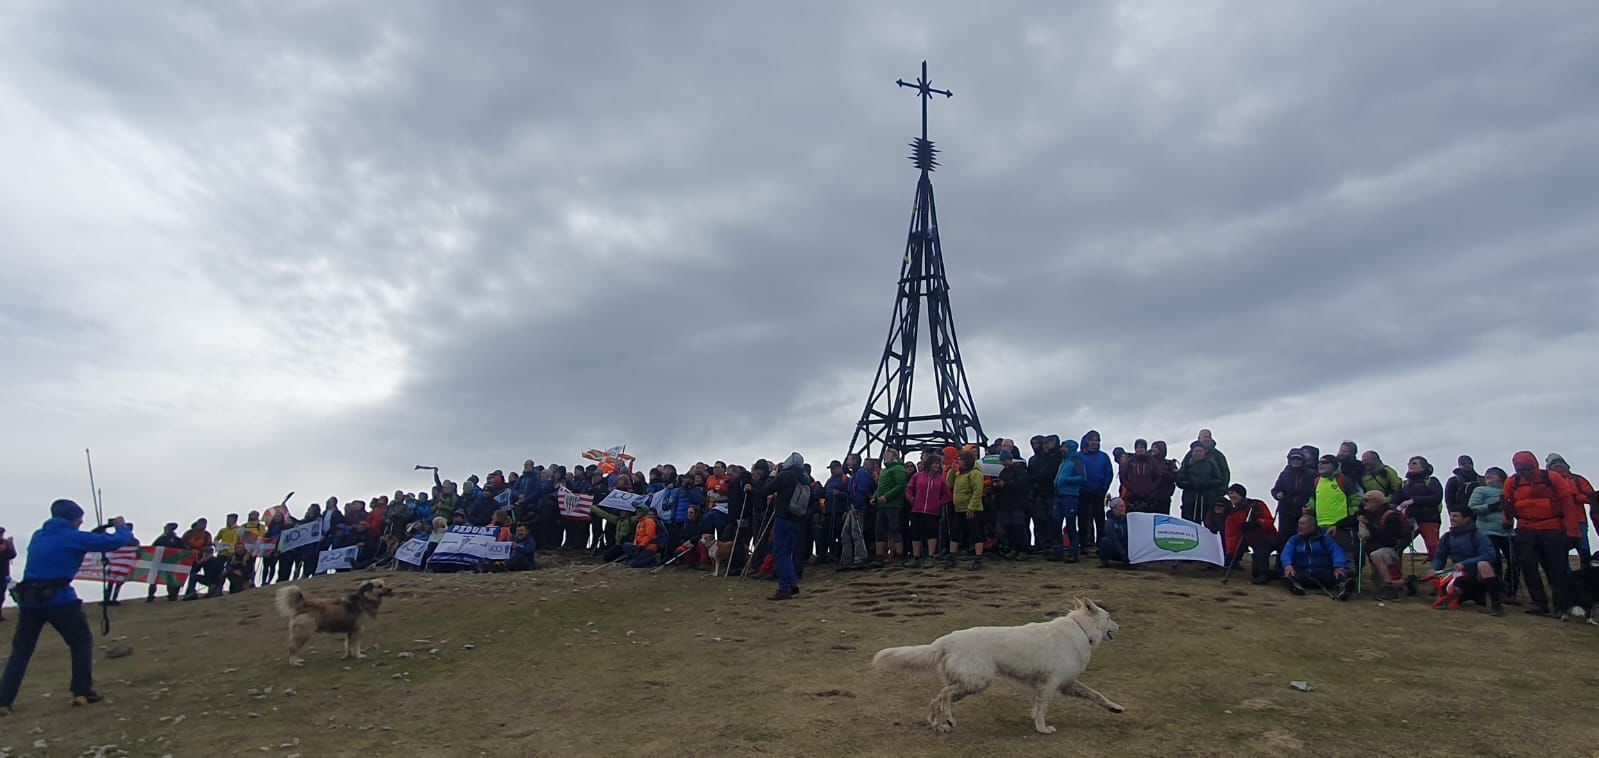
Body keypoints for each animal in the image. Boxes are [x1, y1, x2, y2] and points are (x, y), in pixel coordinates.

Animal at [876, 598, 1125, 735]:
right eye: (1109, 617)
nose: (1119, 627)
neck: (1081, 629)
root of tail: (946, 640)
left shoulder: (1067, 683)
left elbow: (1097, 695)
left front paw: (1115, 708)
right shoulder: (1050, 684)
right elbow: (1042, 709)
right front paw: (1042, 728)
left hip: (967, 684)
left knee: (936, 698)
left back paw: (939, 724)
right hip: (977, 681)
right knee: (944, 694)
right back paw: (949, 719)